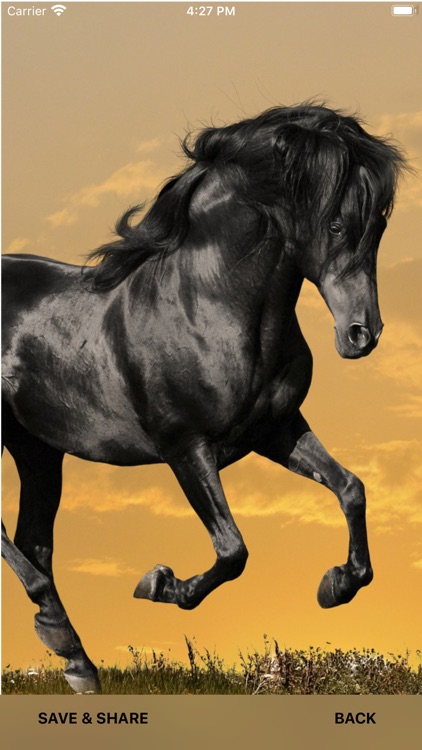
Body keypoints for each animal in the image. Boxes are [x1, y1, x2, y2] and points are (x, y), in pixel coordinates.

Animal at [2, 105, 406, 693]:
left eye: (379, 223)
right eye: (335, 223)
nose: (361, 335)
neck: (205, 306)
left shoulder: (276, 430)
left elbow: (351, 489)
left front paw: (336, 585)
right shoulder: (186, 448)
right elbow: (233, 551)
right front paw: (158, 583)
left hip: (38, 452)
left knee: (33, 541)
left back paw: (77, 660)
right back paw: (59, 631)